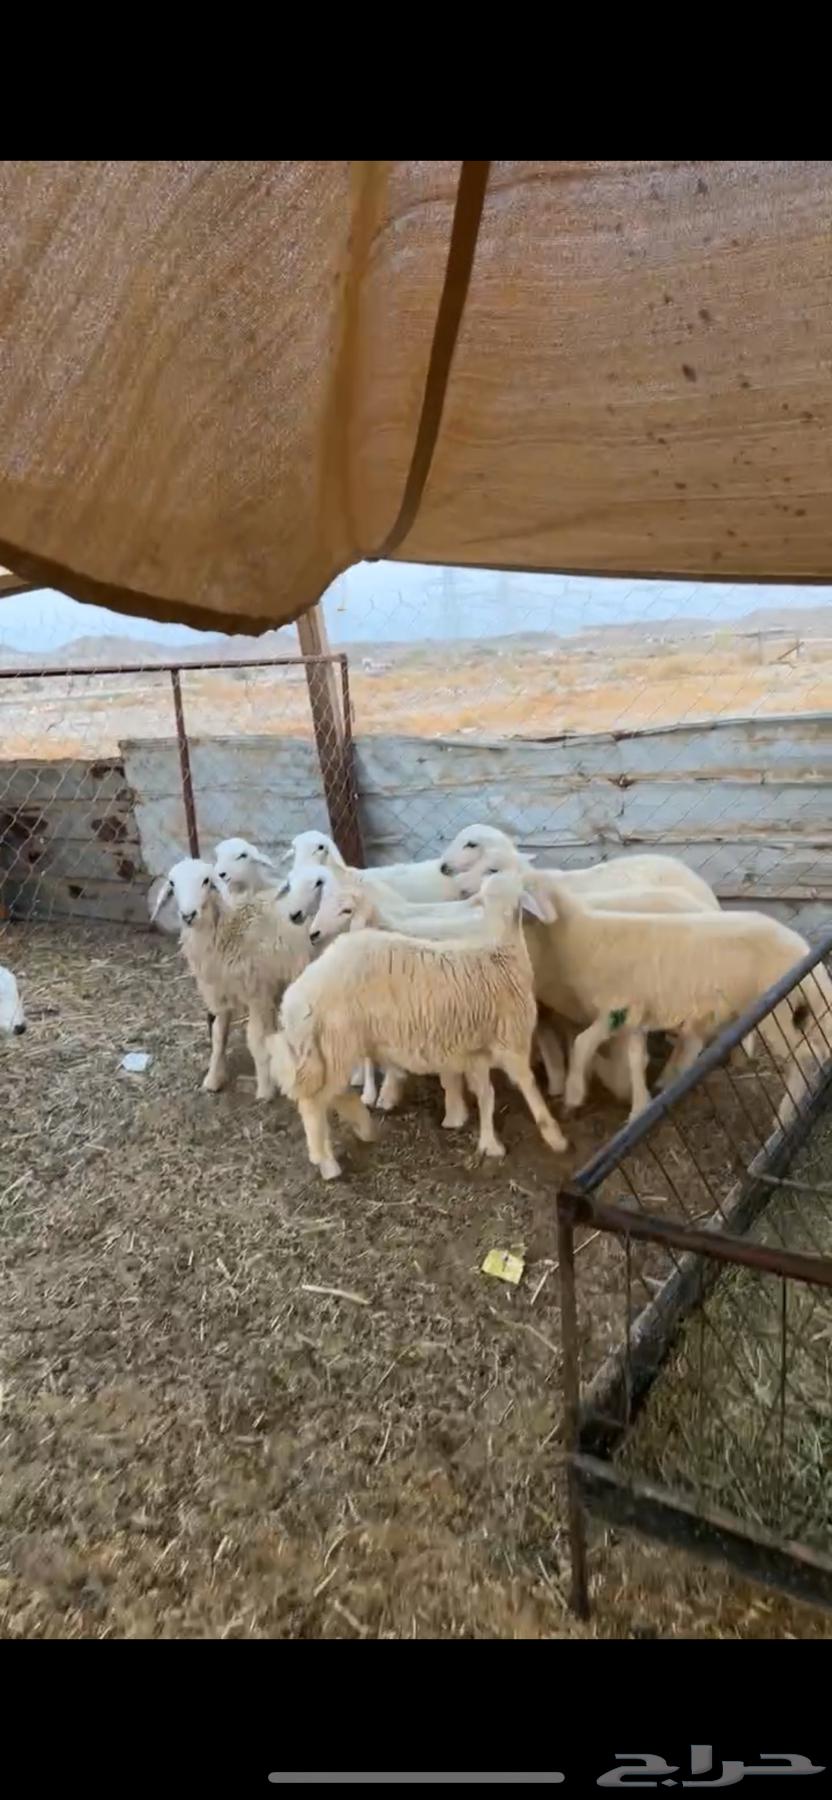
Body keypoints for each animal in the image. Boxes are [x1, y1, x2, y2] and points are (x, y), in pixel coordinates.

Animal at [149, 857, 311, 1100]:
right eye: (172, 883)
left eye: (206, 881)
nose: (188, 915)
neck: (230, 927)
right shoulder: (220, 993)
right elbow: (218, 1036)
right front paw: (213, 1078)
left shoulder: (258, 994)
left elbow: (256, 1040)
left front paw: (265, 1089)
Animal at [266, 869, 568, 1180]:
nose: (313, 933)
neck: (499, 949)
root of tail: (295, 999)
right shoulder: (511, 1040)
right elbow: (528, 1085)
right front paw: (554, 1136)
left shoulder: (476, 1051)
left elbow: (486, 1096)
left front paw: (489, 1144)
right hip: (335, 1043)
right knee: (313, 1103)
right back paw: (327, 1162)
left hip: (329, 1049)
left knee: (330, 1094)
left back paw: (363, 1126)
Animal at [531, 877, 832, 1124]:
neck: (580, 935)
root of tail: (803, 950)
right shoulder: (636, 1015)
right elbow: (635, 1058)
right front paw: (639, 1108)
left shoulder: (619, 1009)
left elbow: (582, 1043)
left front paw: (573, 1095)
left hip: (779, 1010)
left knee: (808, 1057)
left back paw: (784, 1117)